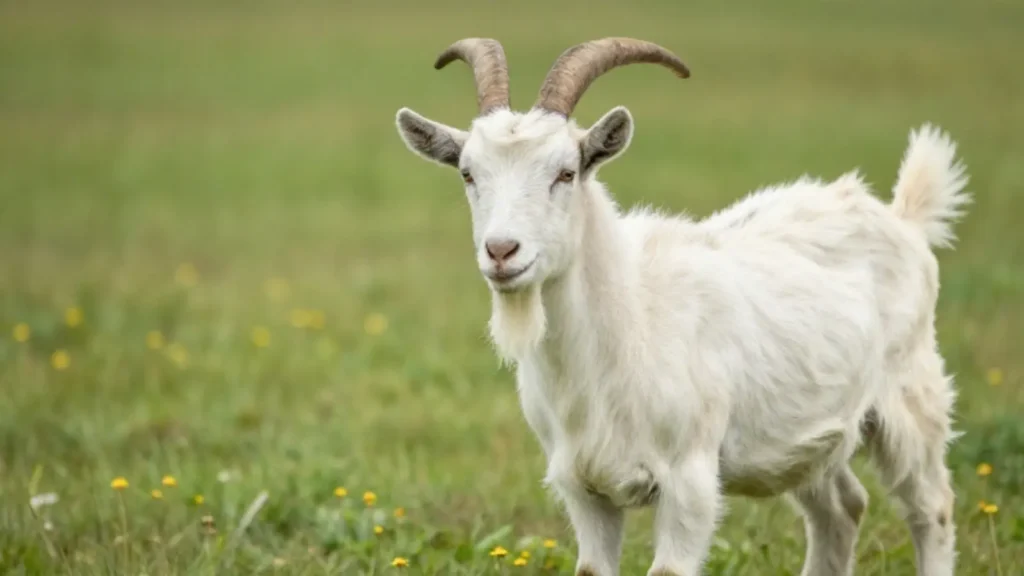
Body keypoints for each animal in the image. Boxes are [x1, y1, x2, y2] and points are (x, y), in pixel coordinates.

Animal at [395, 37, 969, 576]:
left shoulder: (689, 481)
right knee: (841, 508)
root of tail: (903, 216)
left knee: (932, 508)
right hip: (807, 437)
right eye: (468, 173)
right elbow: (590, 566)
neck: (629, 321)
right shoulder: (581, 486)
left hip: (910, 397)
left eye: (566, 172)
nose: (501, 251)